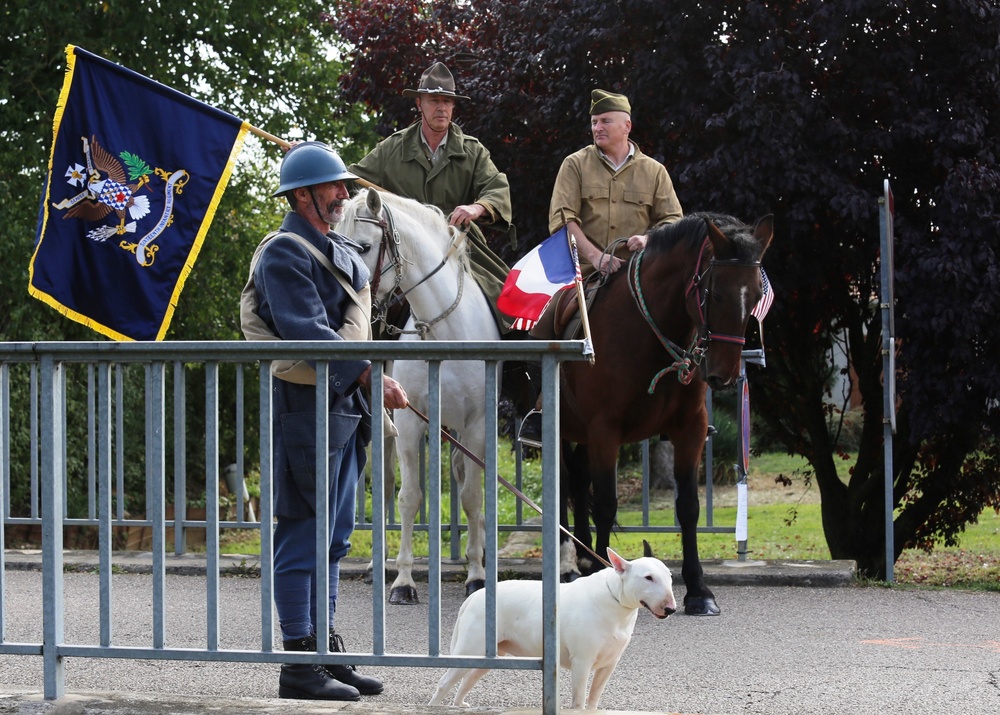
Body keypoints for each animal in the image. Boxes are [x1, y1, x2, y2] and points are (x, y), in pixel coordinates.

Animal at [338, 189, 498, 604]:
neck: (448, 329)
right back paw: (378, 566)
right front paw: (404, 581)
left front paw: (476, 574)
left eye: (364, 246)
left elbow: (471, 496)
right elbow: (409, 497)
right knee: (384, 484)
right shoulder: (409, 421)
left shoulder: (476, 425)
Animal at [426, 544, 676, 712]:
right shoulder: (582, 661)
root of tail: (474, 597)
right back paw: (435, 705)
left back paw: (460, 705)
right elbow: (579, 700)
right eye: (648, 578)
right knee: (445, 682)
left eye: (670, 577)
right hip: (471, 646)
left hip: (489, 655)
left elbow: (594, 698)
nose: (671, 609)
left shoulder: (610, 664)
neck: (617, 601)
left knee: (467, 680)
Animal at [560, 211, 768, 616]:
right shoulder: (604, 430)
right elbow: (605, 504)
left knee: (576, 479)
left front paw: (699, 590)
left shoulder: (690, 429)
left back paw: (585, 556)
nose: (724, 374)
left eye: (754, 297)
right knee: (563, 485)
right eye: (716, 293)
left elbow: (688, 506)